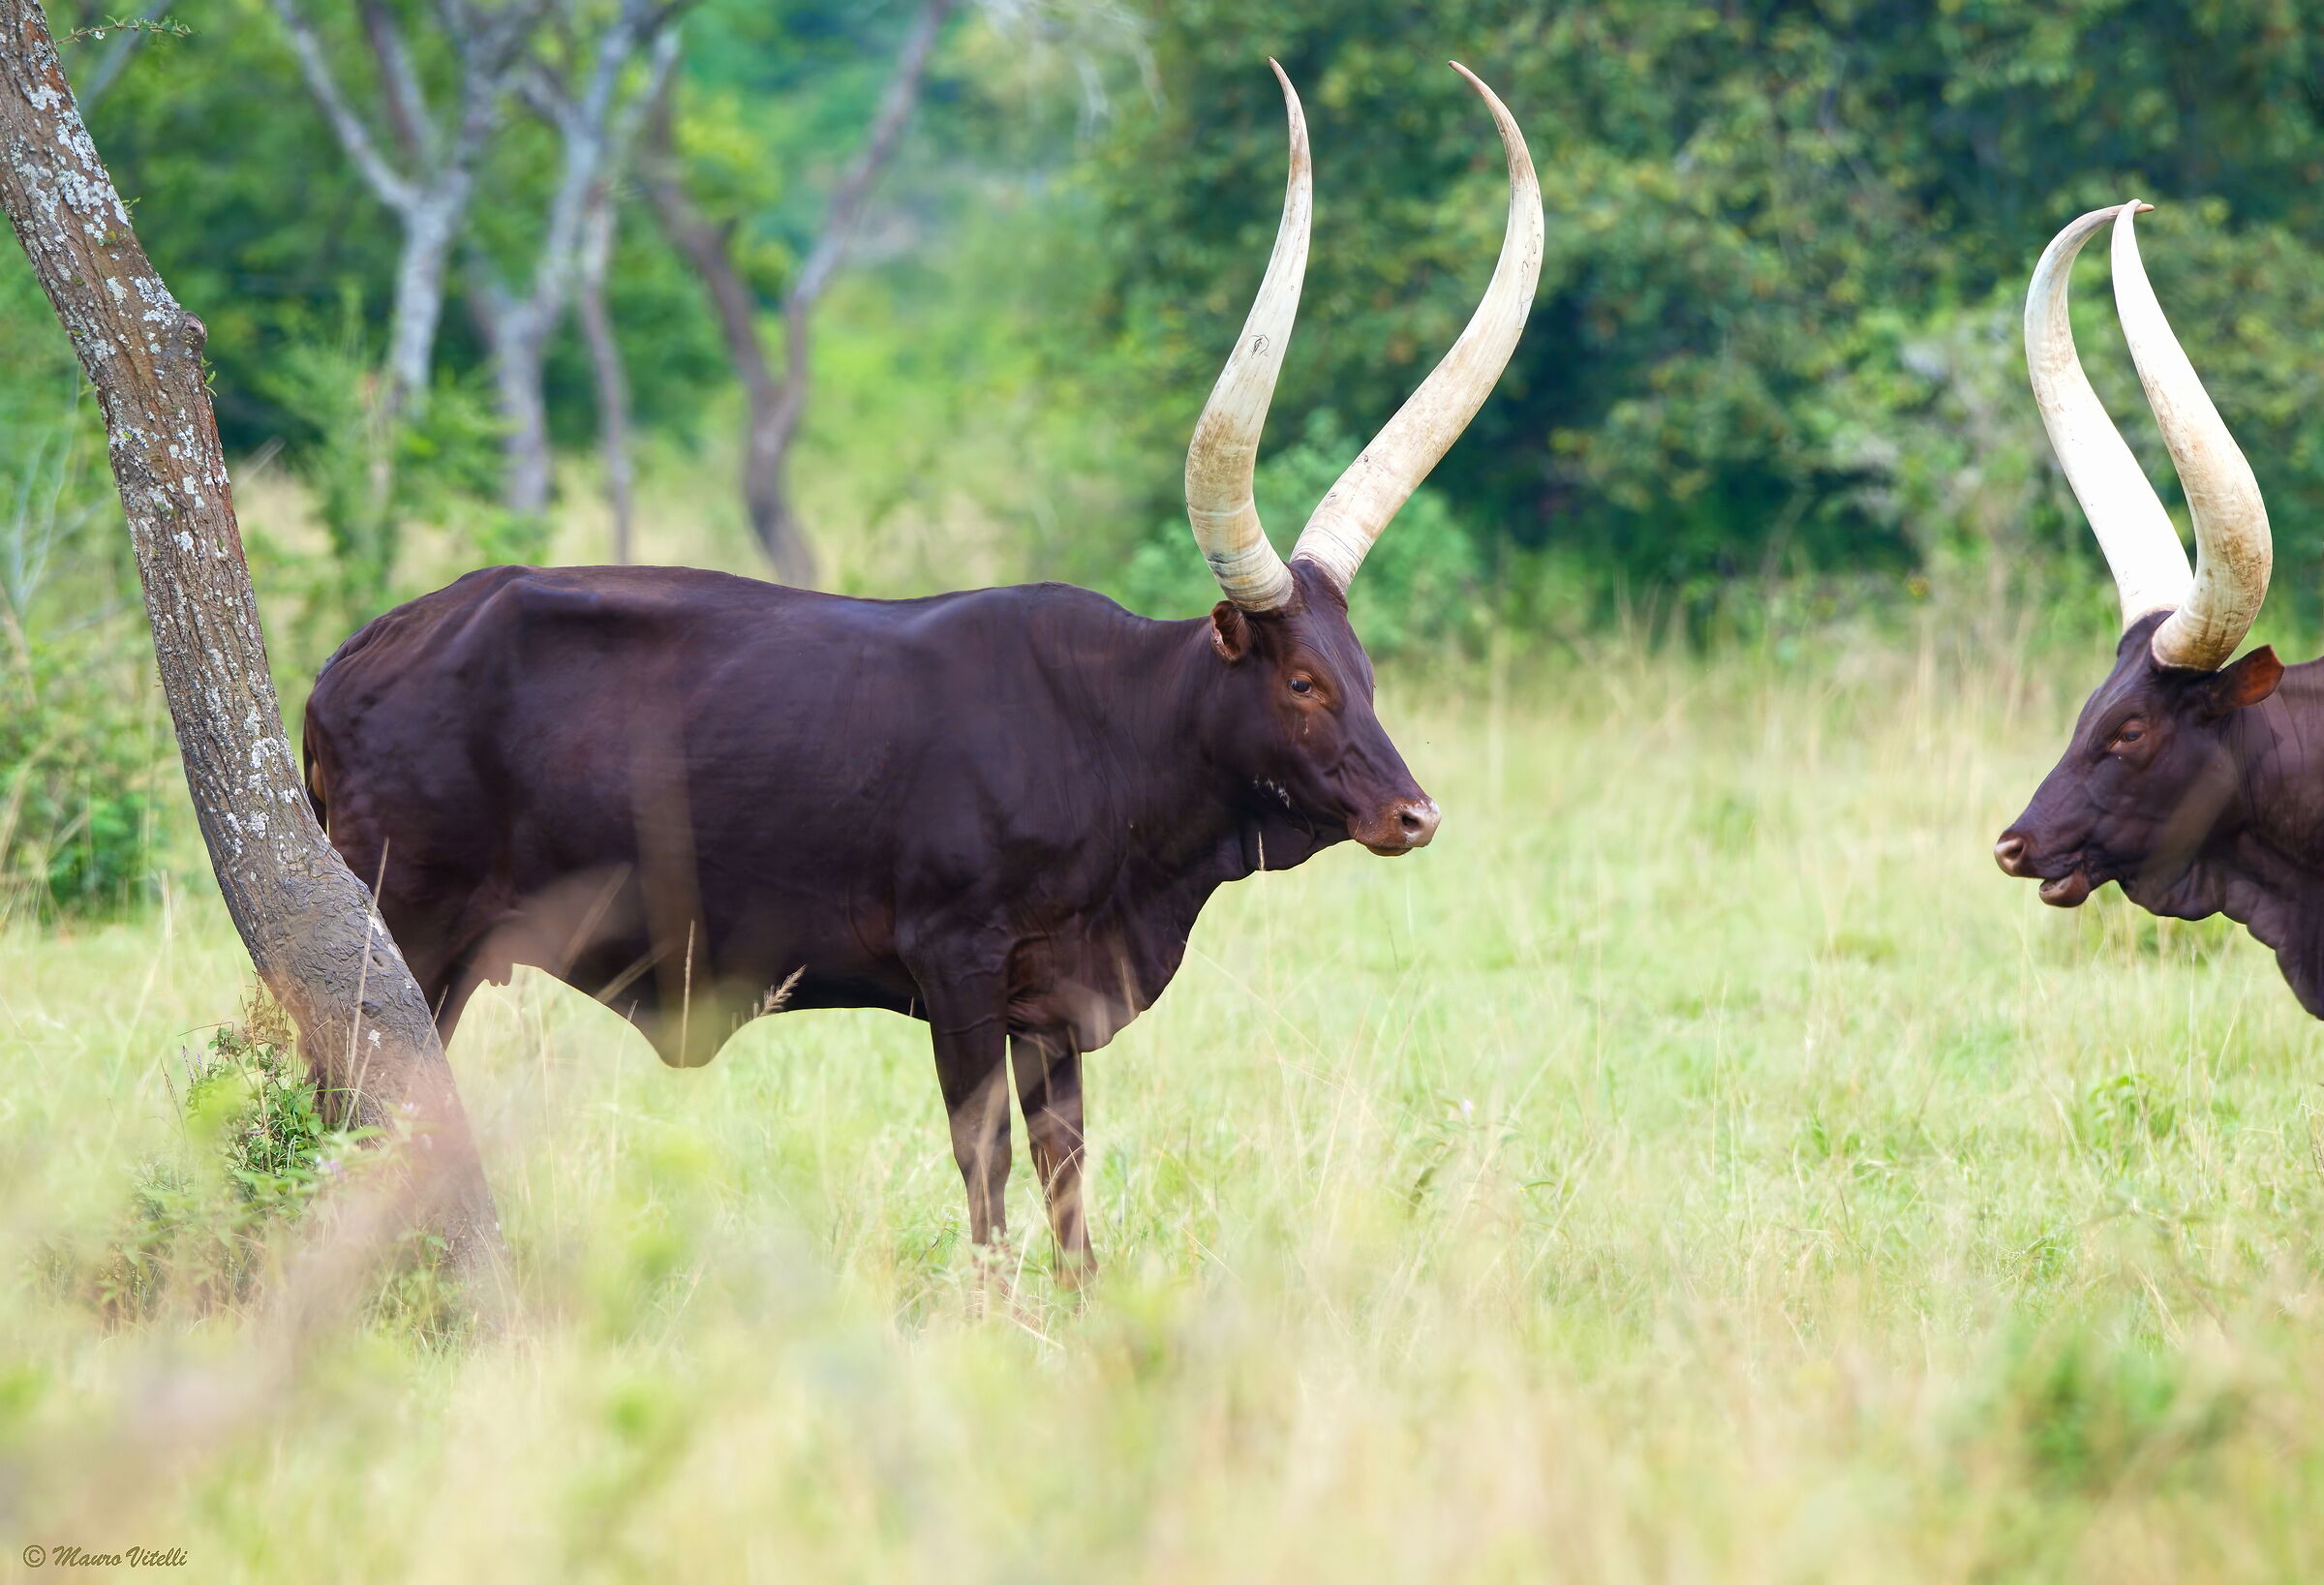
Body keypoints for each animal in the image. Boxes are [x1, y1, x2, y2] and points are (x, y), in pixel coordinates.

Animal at [301, 62, 1545, 1280]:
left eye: (1363, 669)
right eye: (1300, 684)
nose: (1415, 813)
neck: (1111, 729)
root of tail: (346, 662)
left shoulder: (1054, 998)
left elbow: (1065, 1165)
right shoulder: (958, 966)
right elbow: (982, 1156)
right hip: (401, 927)